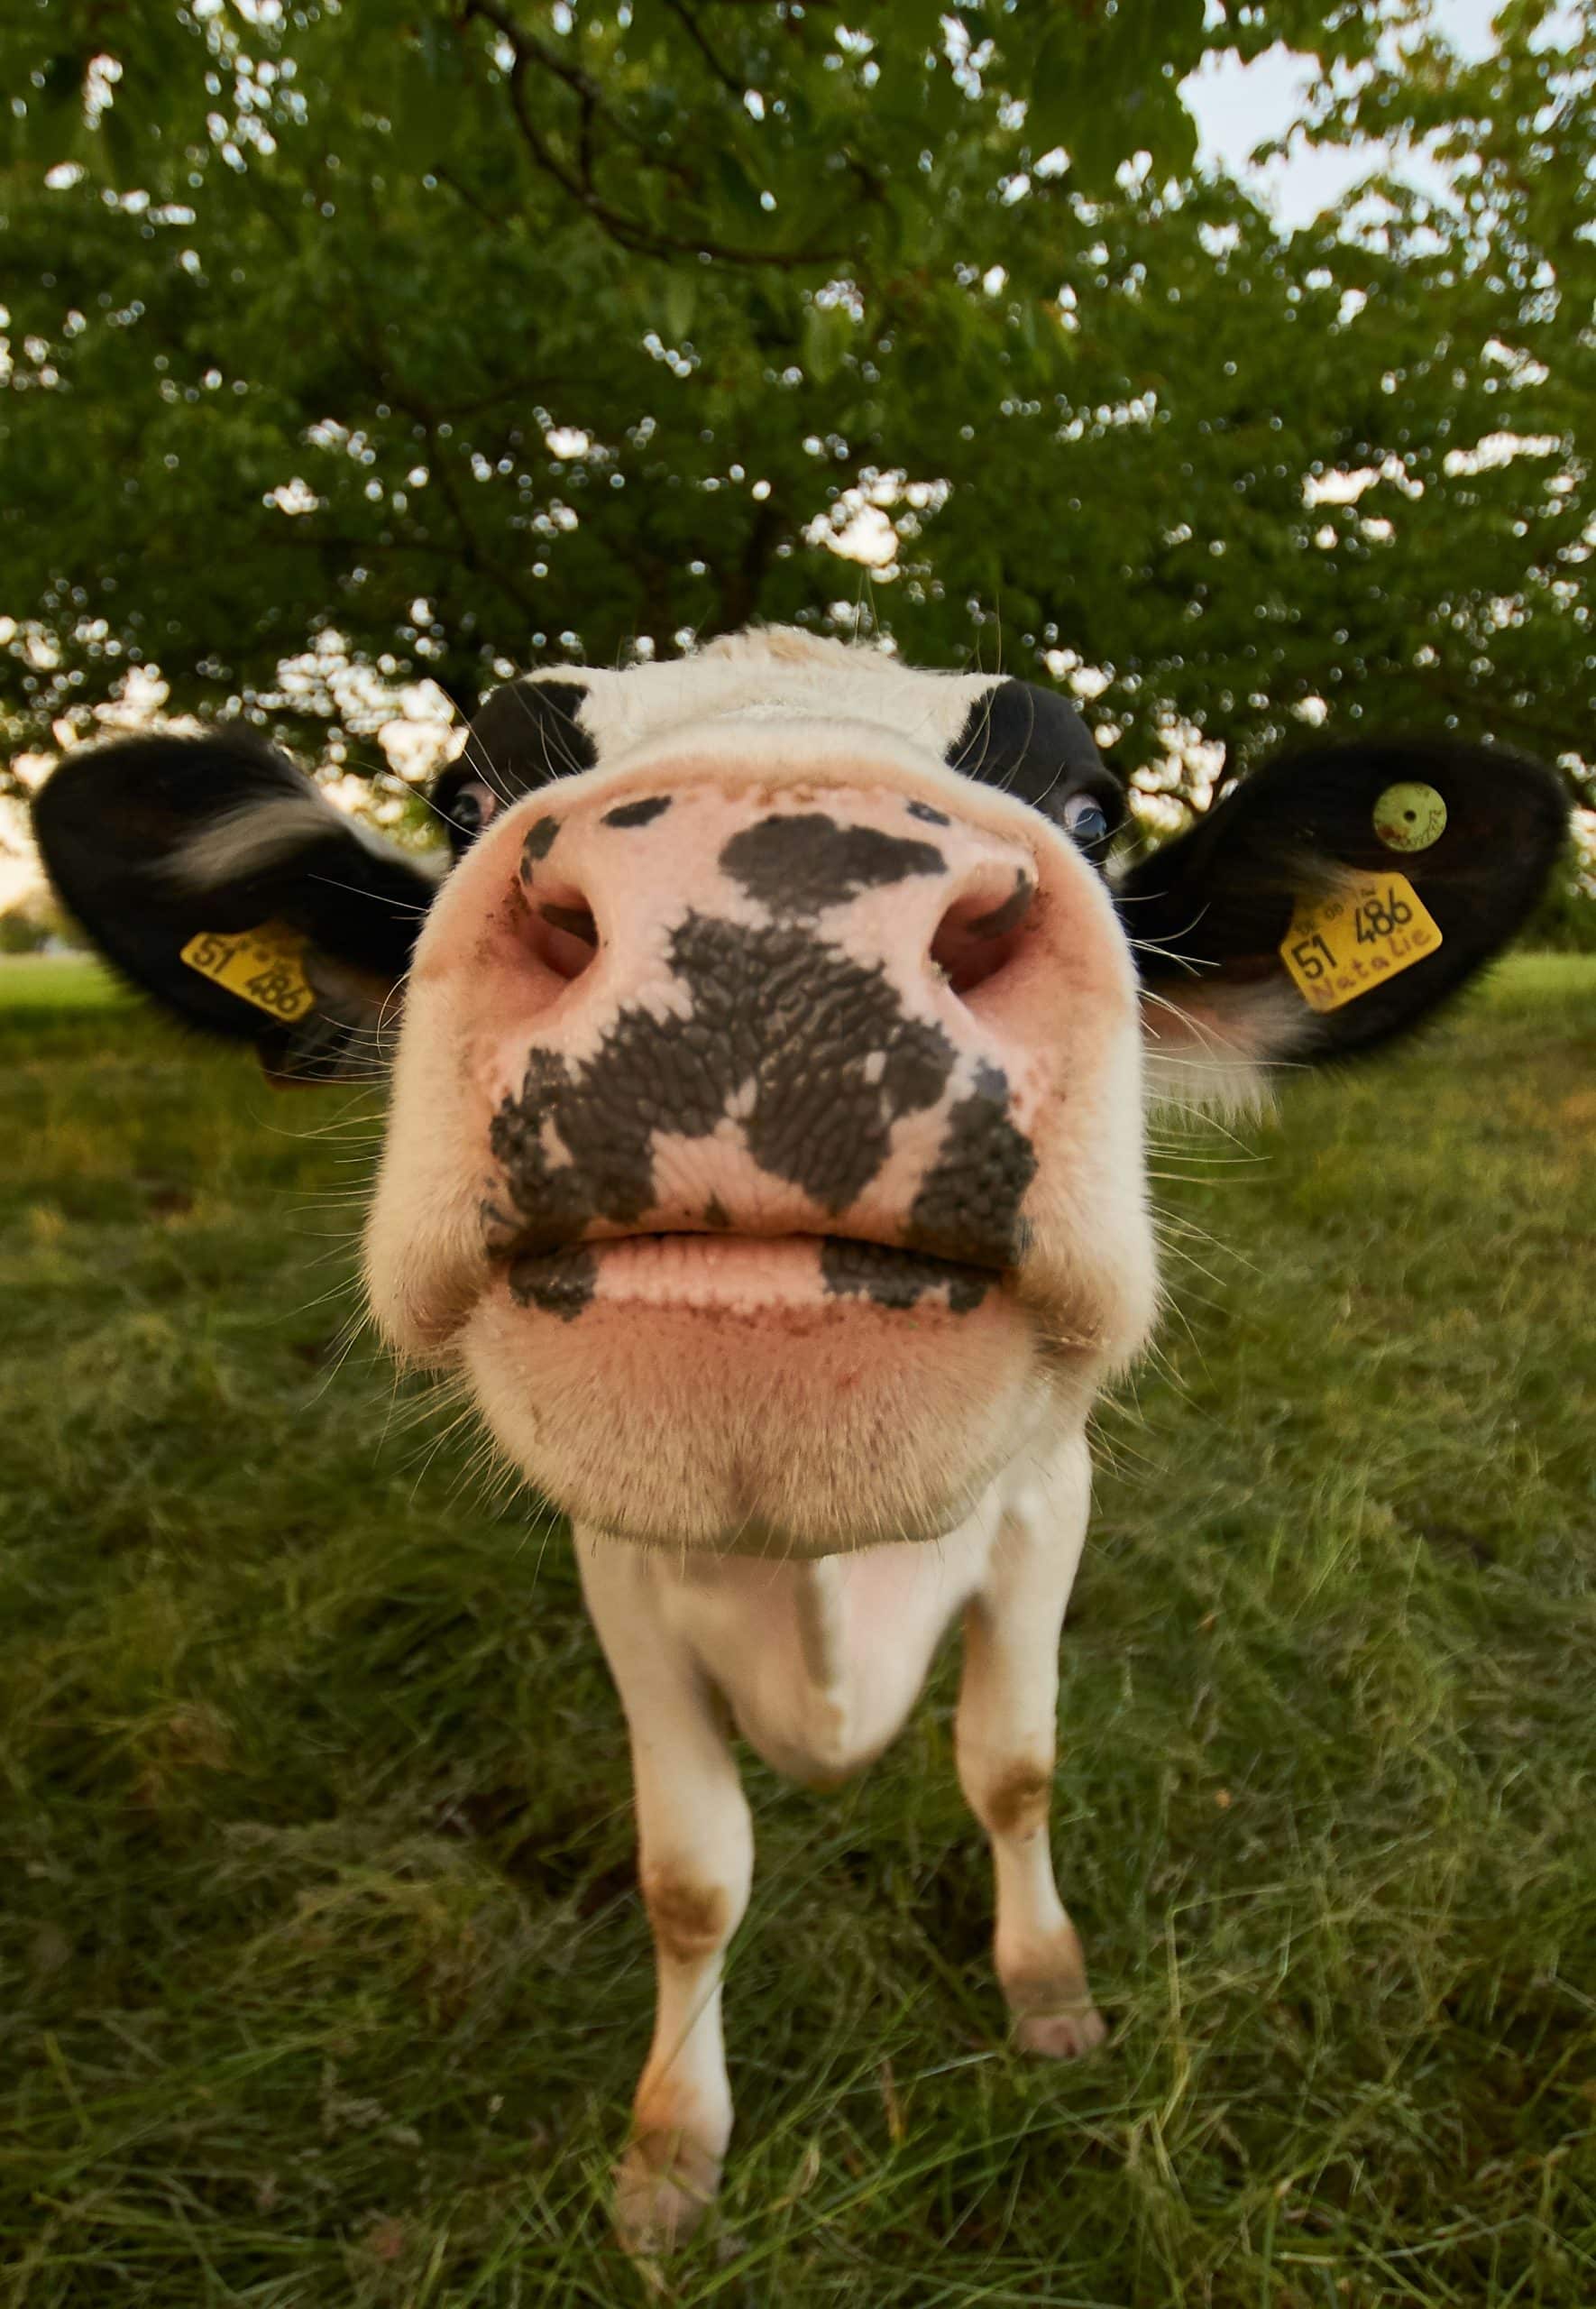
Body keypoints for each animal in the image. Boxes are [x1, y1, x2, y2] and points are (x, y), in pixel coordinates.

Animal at [33, 628, 1567, 2252]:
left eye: (1092, 809)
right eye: (463, 797)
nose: (762, 926)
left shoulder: (1047, 1508)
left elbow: (1013, 1768)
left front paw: (1047, 1988)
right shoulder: (622, 1575)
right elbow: (691, 1878)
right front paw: (669, 2149)